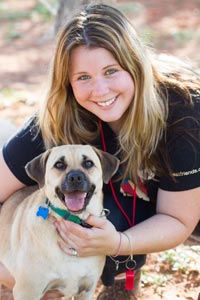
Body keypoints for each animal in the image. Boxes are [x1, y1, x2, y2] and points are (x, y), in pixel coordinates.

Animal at [0, 144, 119, 298]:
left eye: (88, 163)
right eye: (59, 165)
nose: (75, 177)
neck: (75, 220)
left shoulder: (87, 290)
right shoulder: (27, 291)